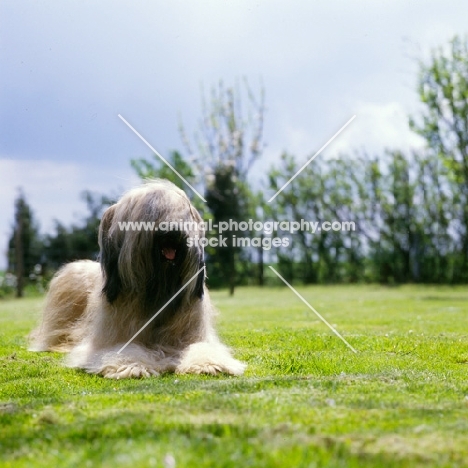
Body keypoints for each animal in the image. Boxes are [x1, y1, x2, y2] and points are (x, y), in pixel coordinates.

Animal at [29, 181, 247, 378]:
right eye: (151, 211)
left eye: (182, 213)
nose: (173, 230)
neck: (158, 293)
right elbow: (125, 350)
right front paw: (132, 366)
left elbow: (201, 347)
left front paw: (208, 364)